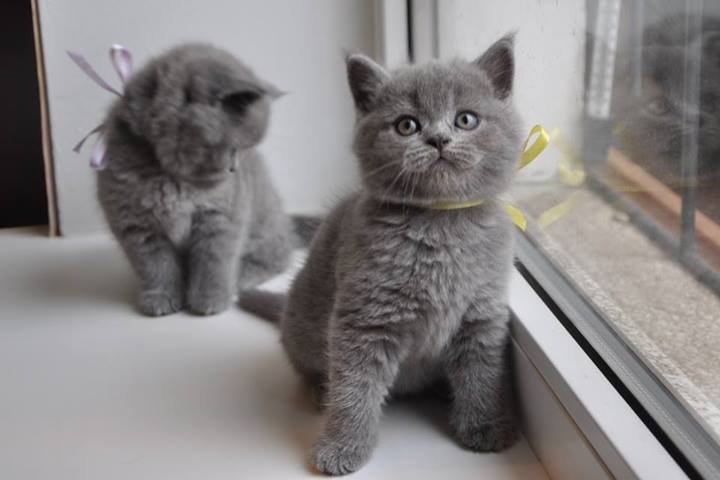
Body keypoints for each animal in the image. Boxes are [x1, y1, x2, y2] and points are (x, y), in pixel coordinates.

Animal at [97, 44, 306, 316]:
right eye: (234, 148)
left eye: (242, 151)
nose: (234, 169)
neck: (172, 177)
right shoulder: (137, 226)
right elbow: (155, 266)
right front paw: (161, 298)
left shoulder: (221, 218)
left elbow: (214, 261)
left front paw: (210, 301)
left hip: (265, 228)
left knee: (277, 256)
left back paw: (241, 278)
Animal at [242, 34, 524, 476]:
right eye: (407, 125)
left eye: (466, 120)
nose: (438, 139)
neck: (440, 223)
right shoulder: (365, 319)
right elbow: (354, 386)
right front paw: (342, 446)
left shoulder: (482, 314)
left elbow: (481, 372)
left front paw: (486, 426)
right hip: (302, 327)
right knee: (308, 365)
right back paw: (318, 392)